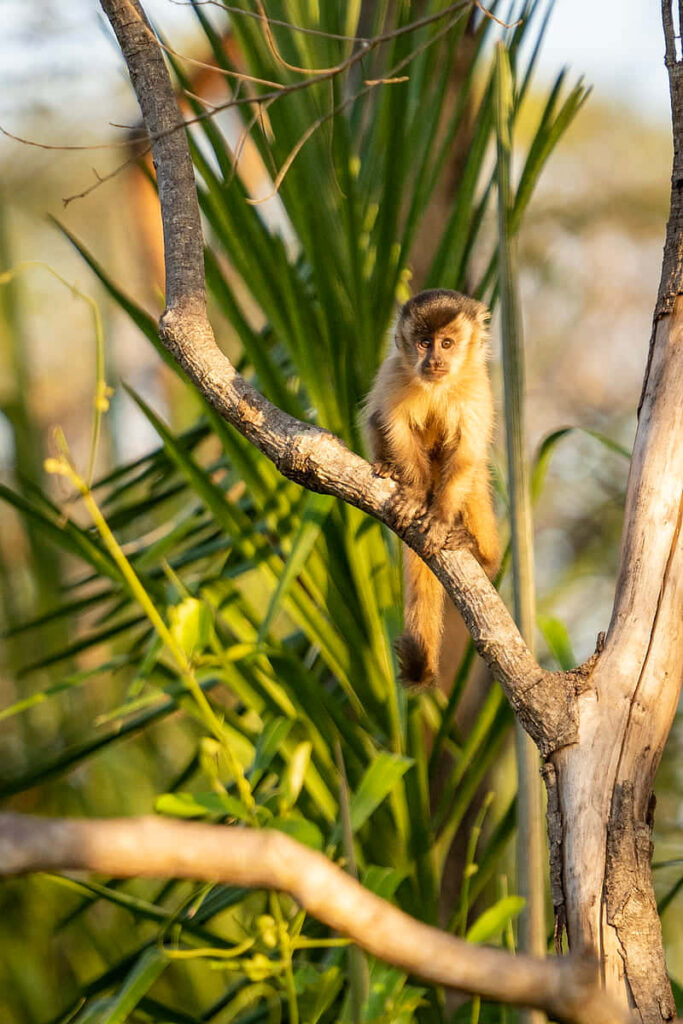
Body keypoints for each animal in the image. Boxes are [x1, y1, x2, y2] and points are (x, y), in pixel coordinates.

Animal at [364, 289, 500, 689]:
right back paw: (390, 469)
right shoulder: (393, 373)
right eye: (424, 343)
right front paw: (414, 493)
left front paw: (439, 518)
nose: (435, 359)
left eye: (447, 343)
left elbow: (467, 454)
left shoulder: (478, 385)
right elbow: (394, 427)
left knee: (473, 476)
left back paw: (482, 554)